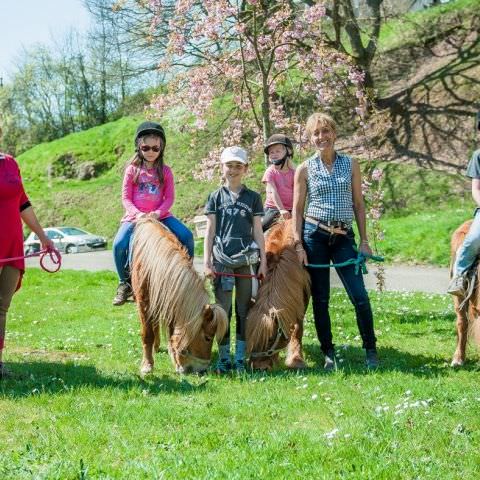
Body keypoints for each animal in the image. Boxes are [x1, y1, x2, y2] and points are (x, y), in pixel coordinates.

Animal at [130, 218, 228, 376]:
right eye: (207, 338)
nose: (202, 369)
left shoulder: (171, 300)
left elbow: (172, 333)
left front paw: (175, 361)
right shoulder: (143, 302)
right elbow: (147, 334)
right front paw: (147, 365)